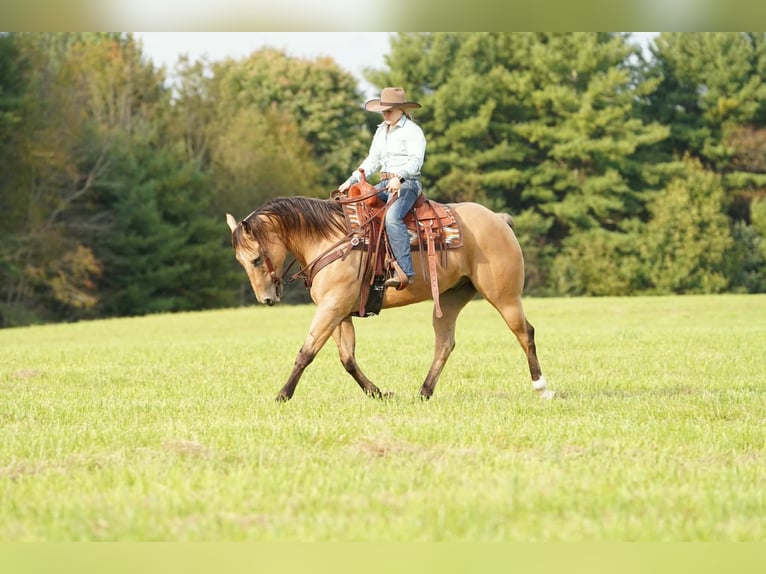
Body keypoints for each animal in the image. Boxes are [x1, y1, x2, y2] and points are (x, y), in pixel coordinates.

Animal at [225, 196, 553, 402]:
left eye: (256, 259)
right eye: (240, 261)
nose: (266, 299)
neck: (330, 240)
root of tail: (498, 219)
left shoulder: (332, 307)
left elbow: (306, 352)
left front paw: (283, 394)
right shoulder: (339, 312)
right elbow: (347, 359)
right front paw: (378, 392)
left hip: (505, 296)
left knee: (526, 333)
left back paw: (542, 387)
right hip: (450, 299)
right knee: (444, 343)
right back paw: (424, 392)